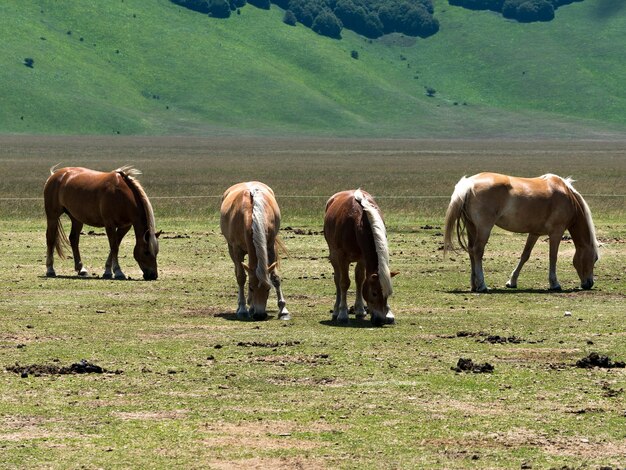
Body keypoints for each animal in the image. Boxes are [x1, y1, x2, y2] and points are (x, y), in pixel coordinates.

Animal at [218, 182, 288, 322]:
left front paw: (283, 310)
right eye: (251, 287)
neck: (253, 213)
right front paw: (242, 309)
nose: (260, 315)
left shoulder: (270, 246)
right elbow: (241, 277)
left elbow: (275, 277)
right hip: (231, 250)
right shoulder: (237, 250)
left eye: (268, 288)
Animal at [324, 189, 398, 324]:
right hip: (334, 256)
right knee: (337, 279)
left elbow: (360, 280)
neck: (358, 220)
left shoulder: (363, 258)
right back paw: (336, 311)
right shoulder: (342, 257)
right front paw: (343, 314)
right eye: (374, 293)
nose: (380, 320)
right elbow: (344, 283)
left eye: (388, 294)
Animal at [442, 172, 596, 290]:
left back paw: (474, 285)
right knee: (478, 251)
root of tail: (469, 185)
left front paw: (512, 281)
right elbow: (553, 257)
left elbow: (525, 255)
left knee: (471, 251)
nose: (589, 283)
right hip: (484, 228)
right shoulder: (556, 233)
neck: (567, 196)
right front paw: (554, 284)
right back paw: (482, 285)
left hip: (472, 227)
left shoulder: (534, 233)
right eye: (595, 259)